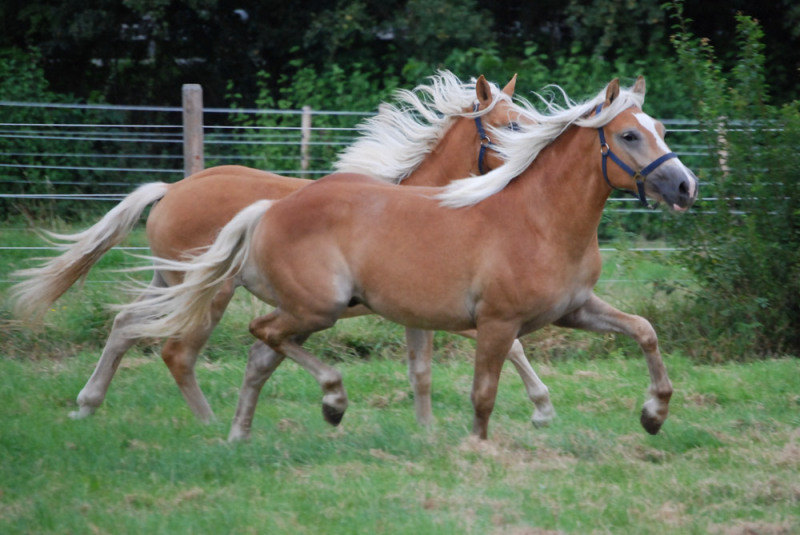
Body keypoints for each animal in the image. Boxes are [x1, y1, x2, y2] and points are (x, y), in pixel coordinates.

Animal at [7, 73, 556, 430]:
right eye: (510, 124)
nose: (533, 161)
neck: (419, 200)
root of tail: (171, 190)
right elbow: (511, 345)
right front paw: (542, 407)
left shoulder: (420, 308)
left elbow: (426, 370)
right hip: (209, 295)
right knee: (176, 352)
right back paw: (213, 426)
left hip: (169, 284)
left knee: (124, 327)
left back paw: (87, 403)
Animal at [115, 76, 696, 444]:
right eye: (628, 134)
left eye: (662, 130)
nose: (685, 185)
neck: (538, 219)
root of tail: (267, 210)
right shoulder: (493, 321)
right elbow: (484, 391)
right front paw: (486, 440)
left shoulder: (572, 309)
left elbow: (644, 331)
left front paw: (653, 414)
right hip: (297, 305)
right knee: (220, 343)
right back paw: (310, 404)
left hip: (217, 292)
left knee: (204, 343)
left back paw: (226, 430)